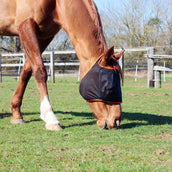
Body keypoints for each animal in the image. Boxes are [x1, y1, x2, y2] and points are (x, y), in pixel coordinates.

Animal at [0, 0, 123, 130]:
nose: (116, 121)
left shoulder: (45, 36)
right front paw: (50, 118)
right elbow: (39, 71)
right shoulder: (26, 26)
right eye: (108, 87)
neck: (57, 4)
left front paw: (17, 114)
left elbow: (27, 71)